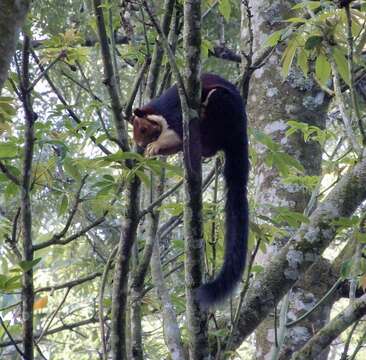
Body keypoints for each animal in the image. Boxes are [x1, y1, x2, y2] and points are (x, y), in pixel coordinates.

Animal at [132, 73, 249, 306]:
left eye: (143, 129)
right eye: (137, 135)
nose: (142, 145)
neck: (156, 112)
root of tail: (240, 133)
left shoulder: (177, 111)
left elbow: (176, 133)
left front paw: (155, 147)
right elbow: (174, 142)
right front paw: (153, 150)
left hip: (221, 105)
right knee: (208, 147)